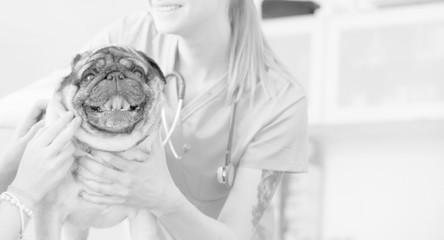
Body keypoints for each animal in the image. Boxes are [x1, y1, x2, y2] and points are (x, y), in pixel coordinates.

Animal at [36, 45, 166, 240]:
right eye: (89, 76)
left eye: (138, 73)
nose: (115, 75)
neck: (109, 143)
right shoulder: (48, 213)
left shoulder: (144, 216)